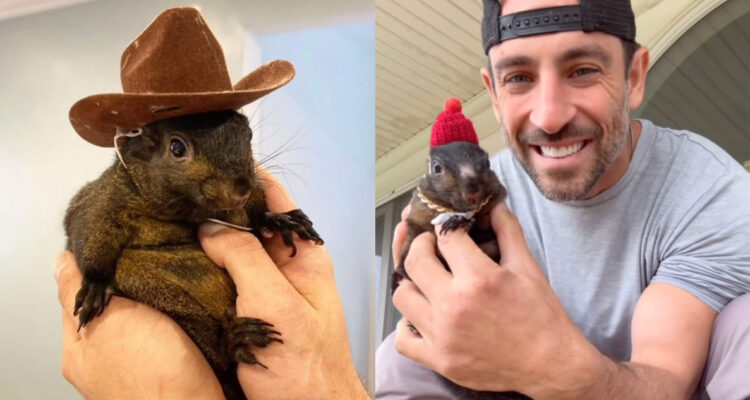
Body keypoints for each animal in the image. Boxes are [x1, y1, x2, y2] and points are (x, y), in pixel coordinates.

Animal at [64, 109, 323, 400]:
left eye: (248, 133)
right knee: (218, 354)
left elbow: (256, 216)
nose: (241, 189)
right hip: (154, 289)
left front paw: (279, 220)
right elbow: (89, 232)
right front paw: (95, 285)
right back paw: (232, 342)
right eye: (176, 148)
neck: (187, 212)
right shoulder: (102, 202)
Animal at [392, 141, 533, 400]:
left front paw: (461, 222)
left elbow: (483, 233)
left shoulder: (490, 230)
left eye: (486, 163)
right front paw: (399, 273)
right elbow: (408, 243)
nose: (472, 189)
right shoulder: (415, 221)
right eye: (437, 168)